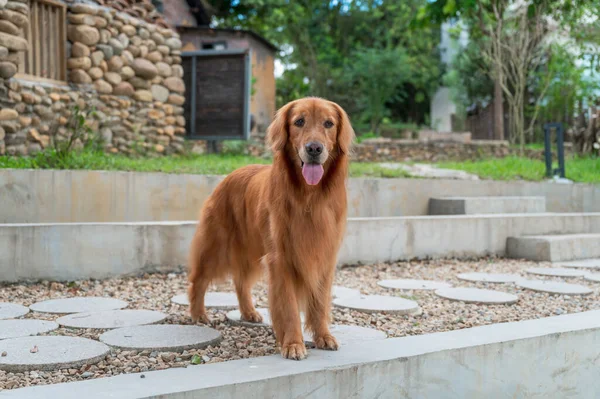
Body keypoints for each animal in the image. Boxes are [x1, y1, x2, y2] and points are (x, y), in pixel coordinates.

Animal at [189, 97, 352, 360]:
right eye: (299, 121)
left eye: (329, 123)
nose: (314, 149)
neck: (309, 197)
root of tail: (230, 175)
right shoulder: (281, 259)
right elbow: (289, 307)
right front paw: (293, 343)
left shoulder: (323, 257)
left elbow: (319, 303)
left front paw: (323, 336)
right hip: (217, 245)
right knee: (199, 279)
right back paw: (198, 314)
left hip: (250, 251)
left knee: (241, 282)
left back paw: (248, 312)